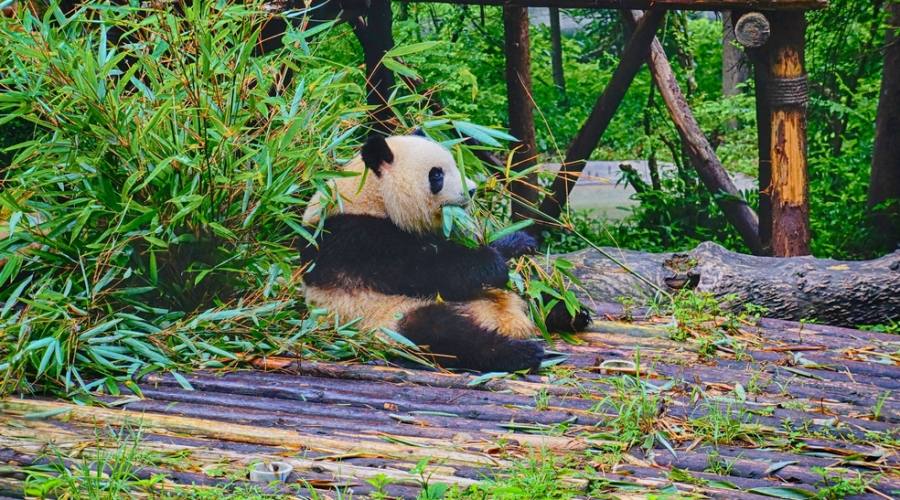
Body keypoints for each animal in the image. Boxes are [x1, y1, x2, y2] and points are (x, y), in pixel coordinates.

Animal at [298, 131, 588, 374]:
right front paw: (494, 263)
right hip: (388, 317)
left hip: (510, 296)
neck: (369, 195)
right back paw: (522, 353)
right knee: (446, 334)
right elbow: (427, 271)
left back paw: (572, 313)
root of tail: (509, 321)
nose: (471, 189)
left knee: (535, 296)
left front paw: (519, 241)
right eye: (436, 175)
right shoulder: (354, 239)